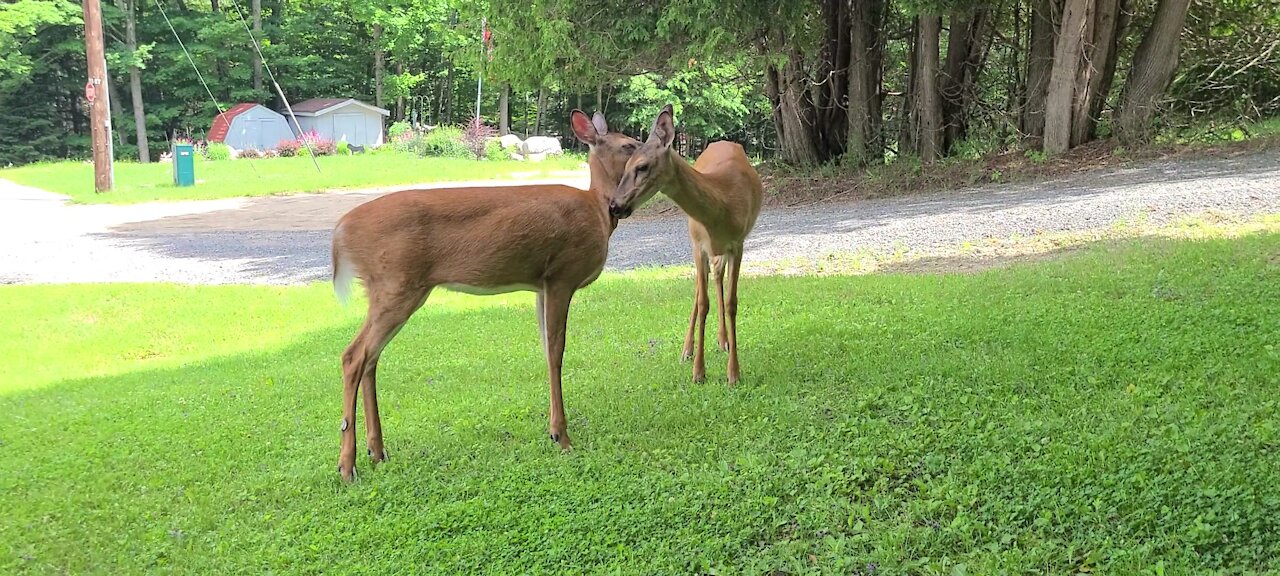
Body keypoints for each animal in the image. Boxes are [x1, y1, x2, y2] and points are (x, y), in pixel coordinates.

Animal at [330, 111, 640, 481]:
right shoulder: (562, 274)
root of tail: (341, 231)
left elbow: (545, 348)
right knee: (354, 356)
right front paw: (561, 436)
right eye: (628, 145)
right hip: (395, 284)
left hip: (393, 289)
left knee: (371, 358)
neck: (596, 209)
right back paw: (347, 465)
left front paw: (553, 430)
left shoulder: (541, 284)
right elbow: (556, 351)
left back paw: (377, 451)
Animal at [606, 104, 757, 386]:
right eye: (626, 166)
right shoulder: (699, 245)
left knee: (717, 277)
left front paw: (733, 373)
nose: (614, 206)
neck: (722, 206)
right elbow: (703, 302)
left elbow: (732, 303)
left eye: (642, 166)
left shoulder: (738, 243)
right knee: (700, 290)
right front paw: (698, 372)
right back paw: (687, 350)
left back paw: (723, 341)